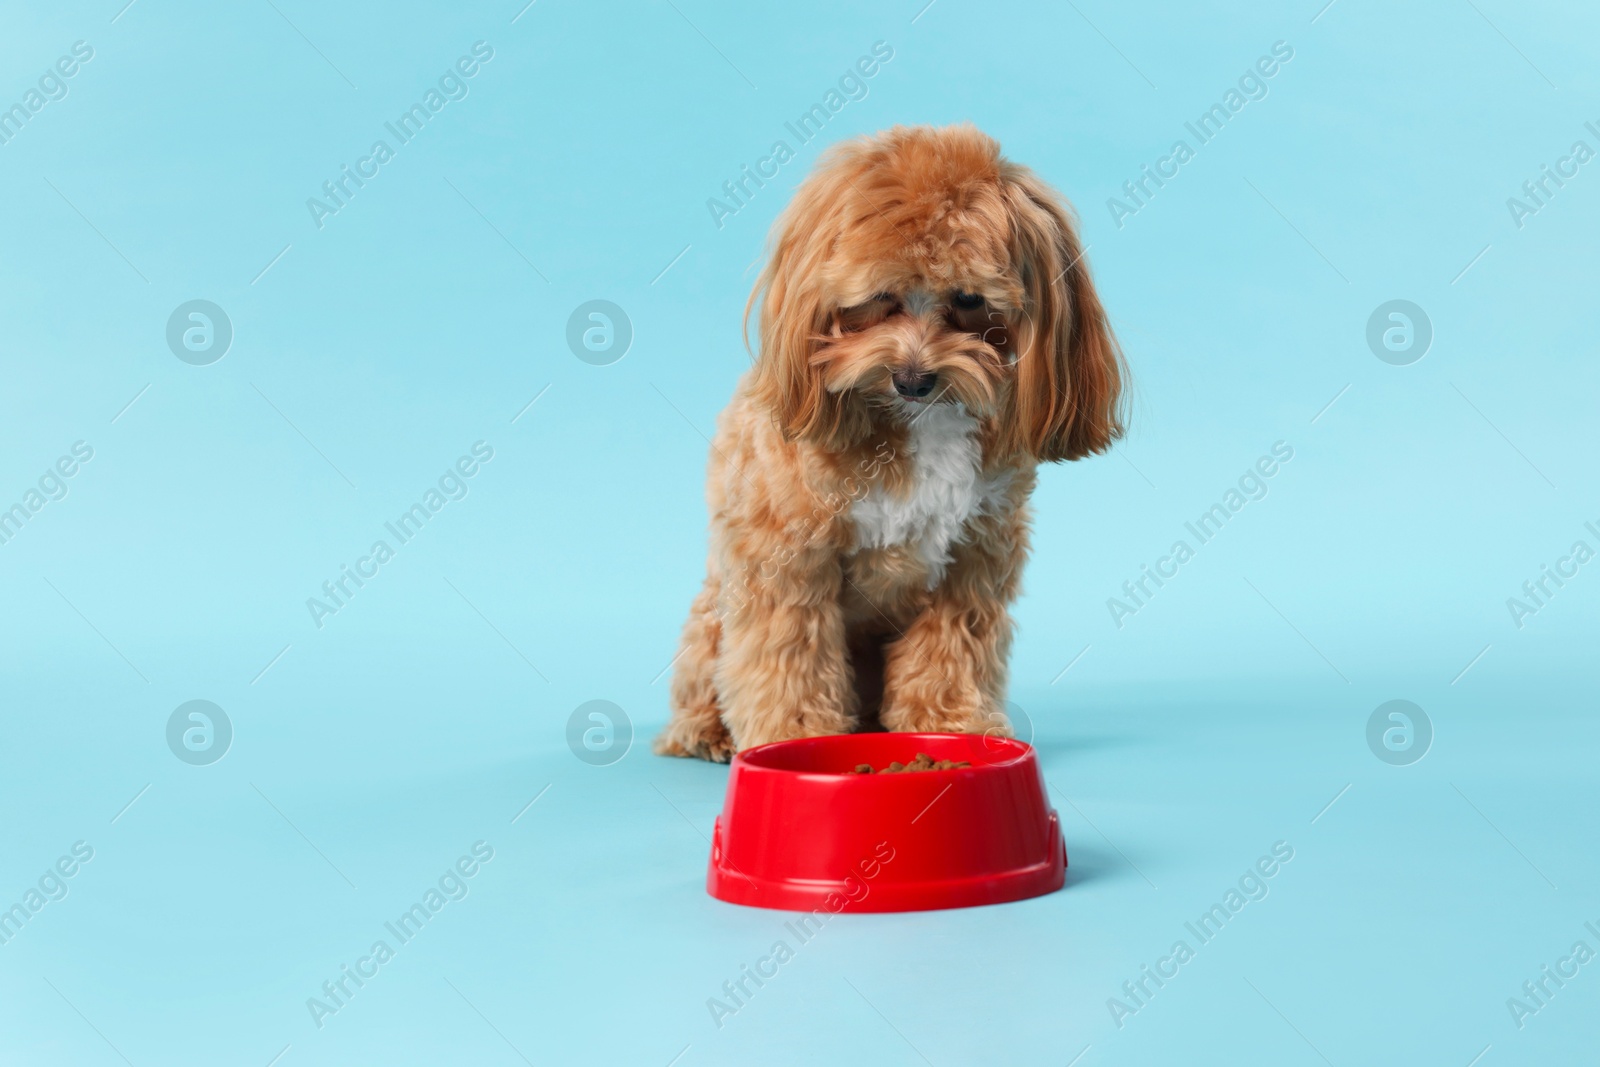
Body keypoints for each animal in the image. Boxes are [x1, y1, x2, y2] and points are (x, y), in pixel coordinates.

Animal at [649, 123, 1126, 758]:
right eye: (877, 296)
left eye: (969, 299)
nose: (913, 378)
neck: (917, 423)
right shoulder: (789, 554)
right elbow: (790, 652)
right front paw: (797, 733)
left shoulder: (975, 555)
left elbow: (951, 648)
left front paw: (949, 722)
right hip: (710, 623)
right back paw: (707, 733)